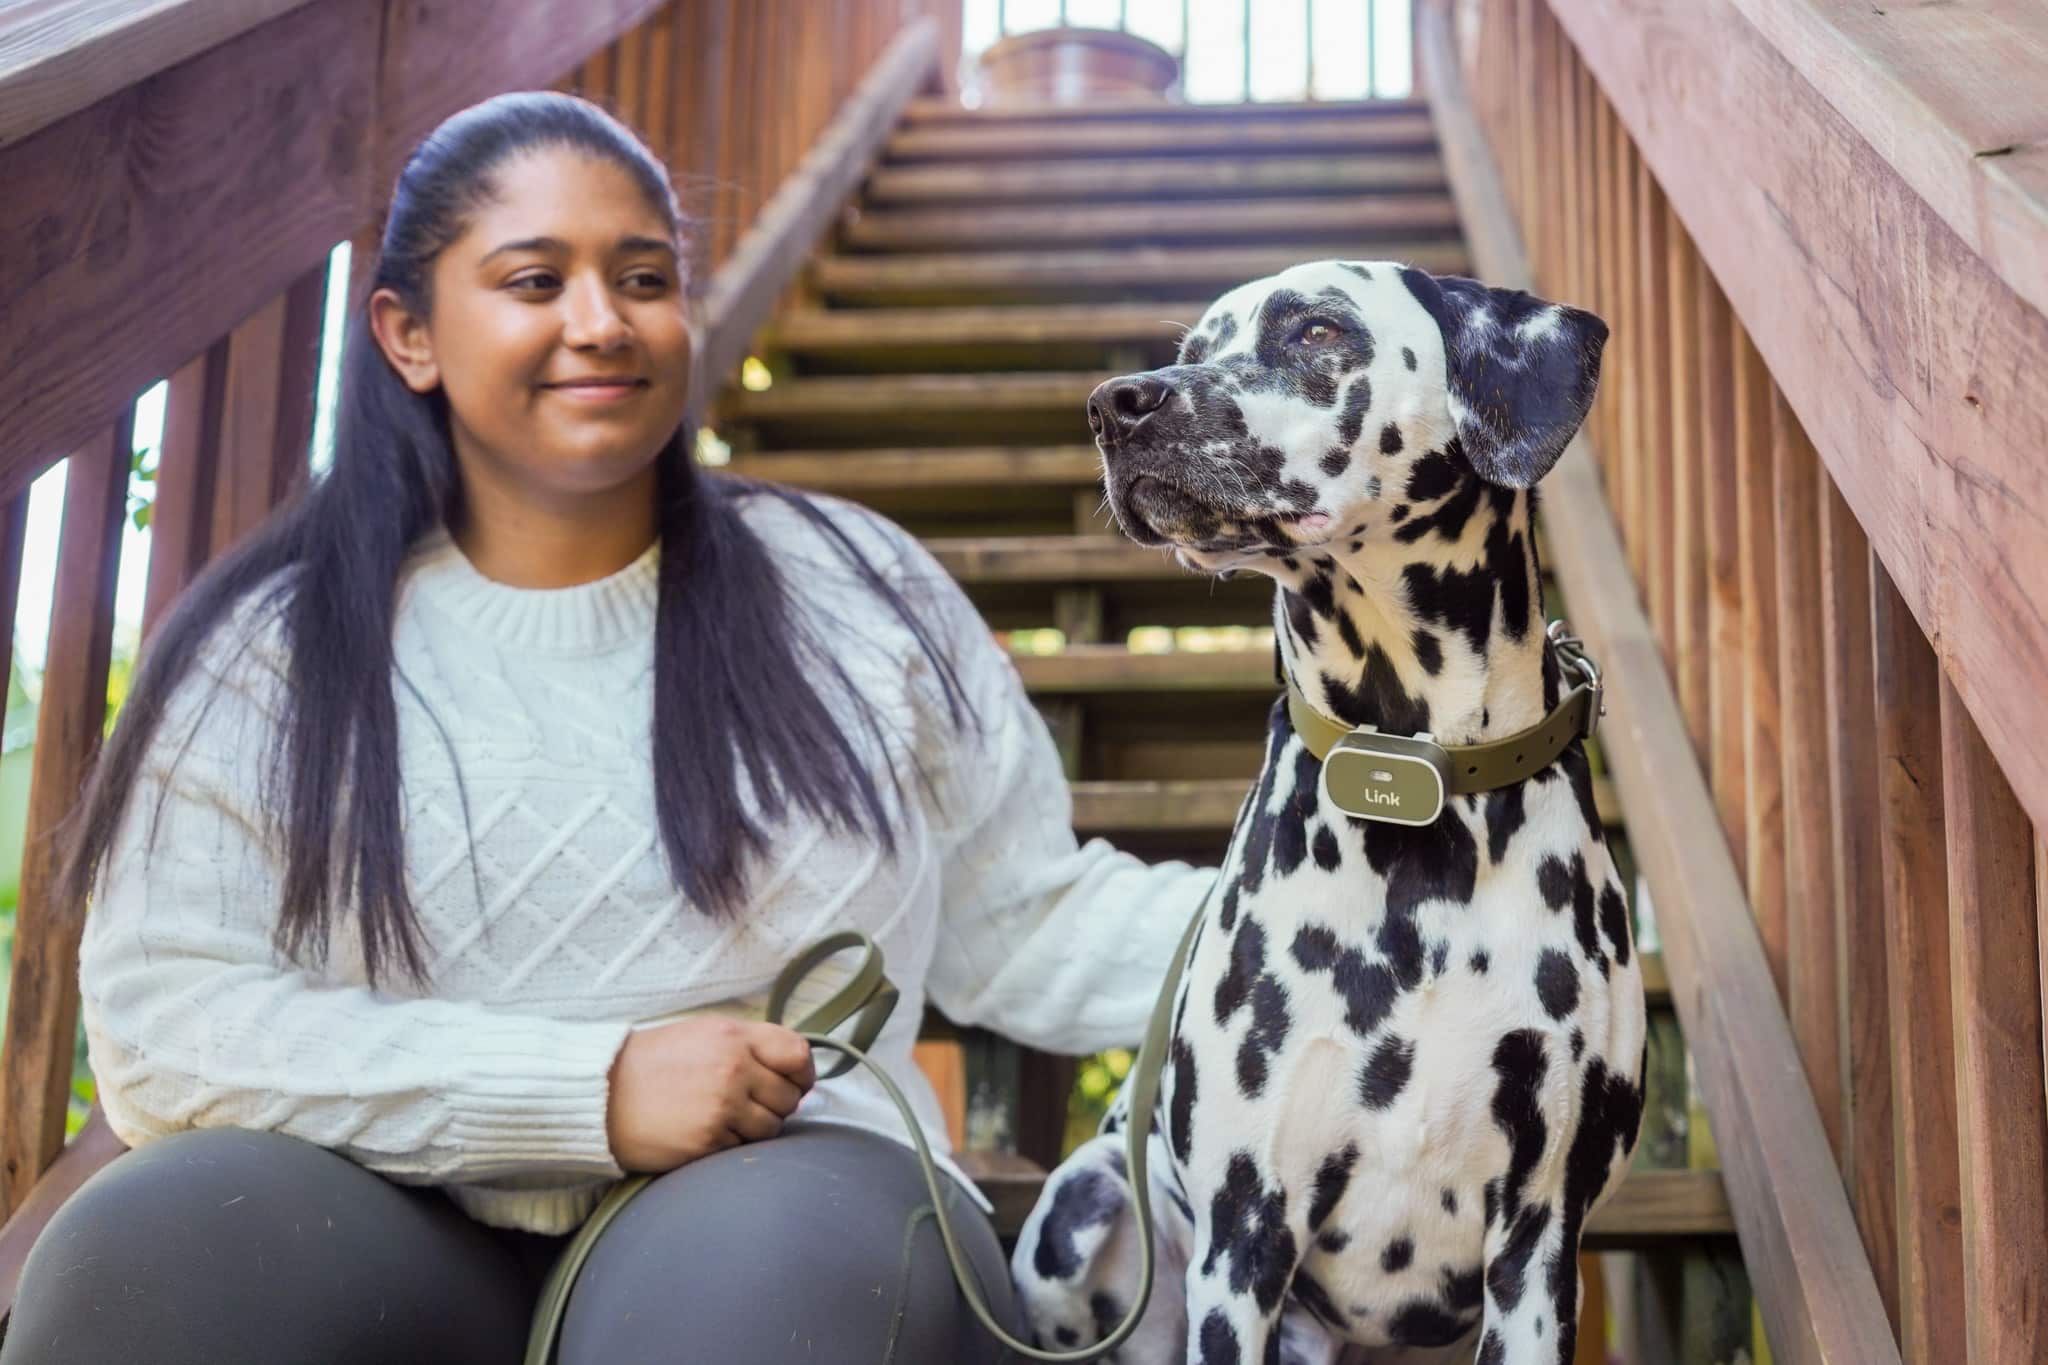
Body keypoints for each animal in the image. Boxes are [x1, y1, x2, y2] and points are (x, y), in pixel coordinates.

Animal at [1015, 263, 1654, 1365]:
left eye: (1316, 330)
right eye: (1195, 345)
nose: (1115, 405)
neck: (1413, 784)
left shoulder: (1538, 1240)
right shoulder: (1243, 1234)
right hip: (1075, 1214)